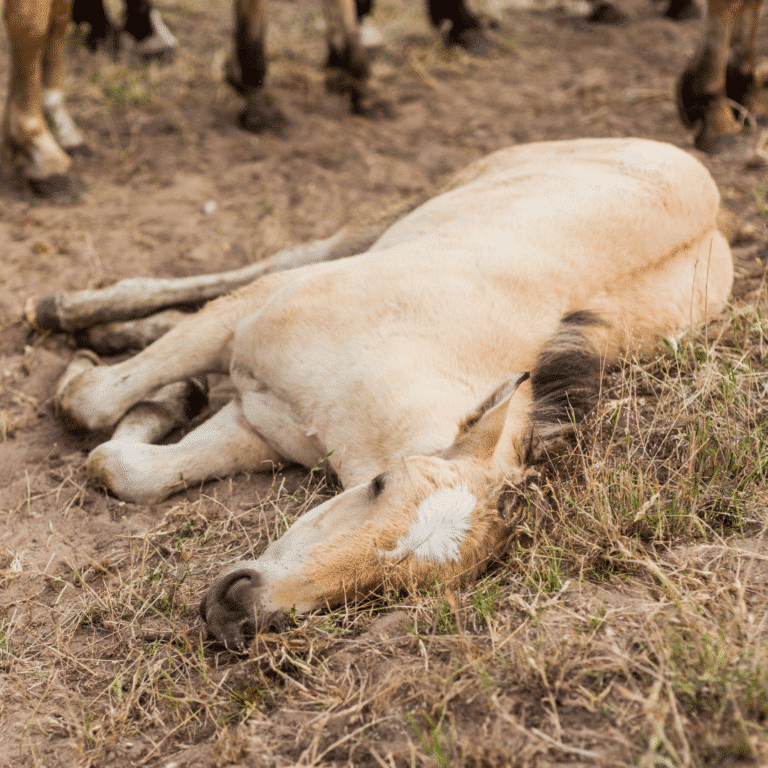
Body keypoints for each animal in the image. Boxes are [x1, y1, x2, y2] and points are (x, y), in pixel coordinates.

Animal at [54, 140, 732, 648]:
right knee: (282, 258)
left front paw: (170, 400)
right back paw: (70, 311)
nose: (239, 608)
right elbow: (91, 403)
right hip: (406, 210)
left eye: (392, 591)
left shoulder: (259, 426)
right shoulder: (236, 325)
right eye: (380, 486)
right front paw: (105, 373)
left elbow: (128, 467)